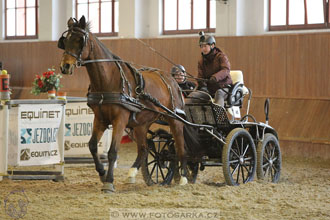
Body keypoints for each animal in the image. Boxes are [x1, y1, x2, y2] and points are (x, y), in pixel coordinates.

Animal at [59, 15, 187, 192]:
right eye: (65, 40)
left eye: (79, 39)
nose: (65, 66)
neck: (108, 81)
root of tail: (172, 80)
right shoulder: (100, 119)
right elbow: (92, 146)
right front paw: (102, 173)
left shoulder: (120, 119)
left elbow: (113, 152)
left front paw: (109, 182)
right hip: (141, 124)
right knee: (144, 149)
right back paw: (133, 174)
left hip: (175, 119)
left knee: (180, 145)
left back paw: (183, 177)